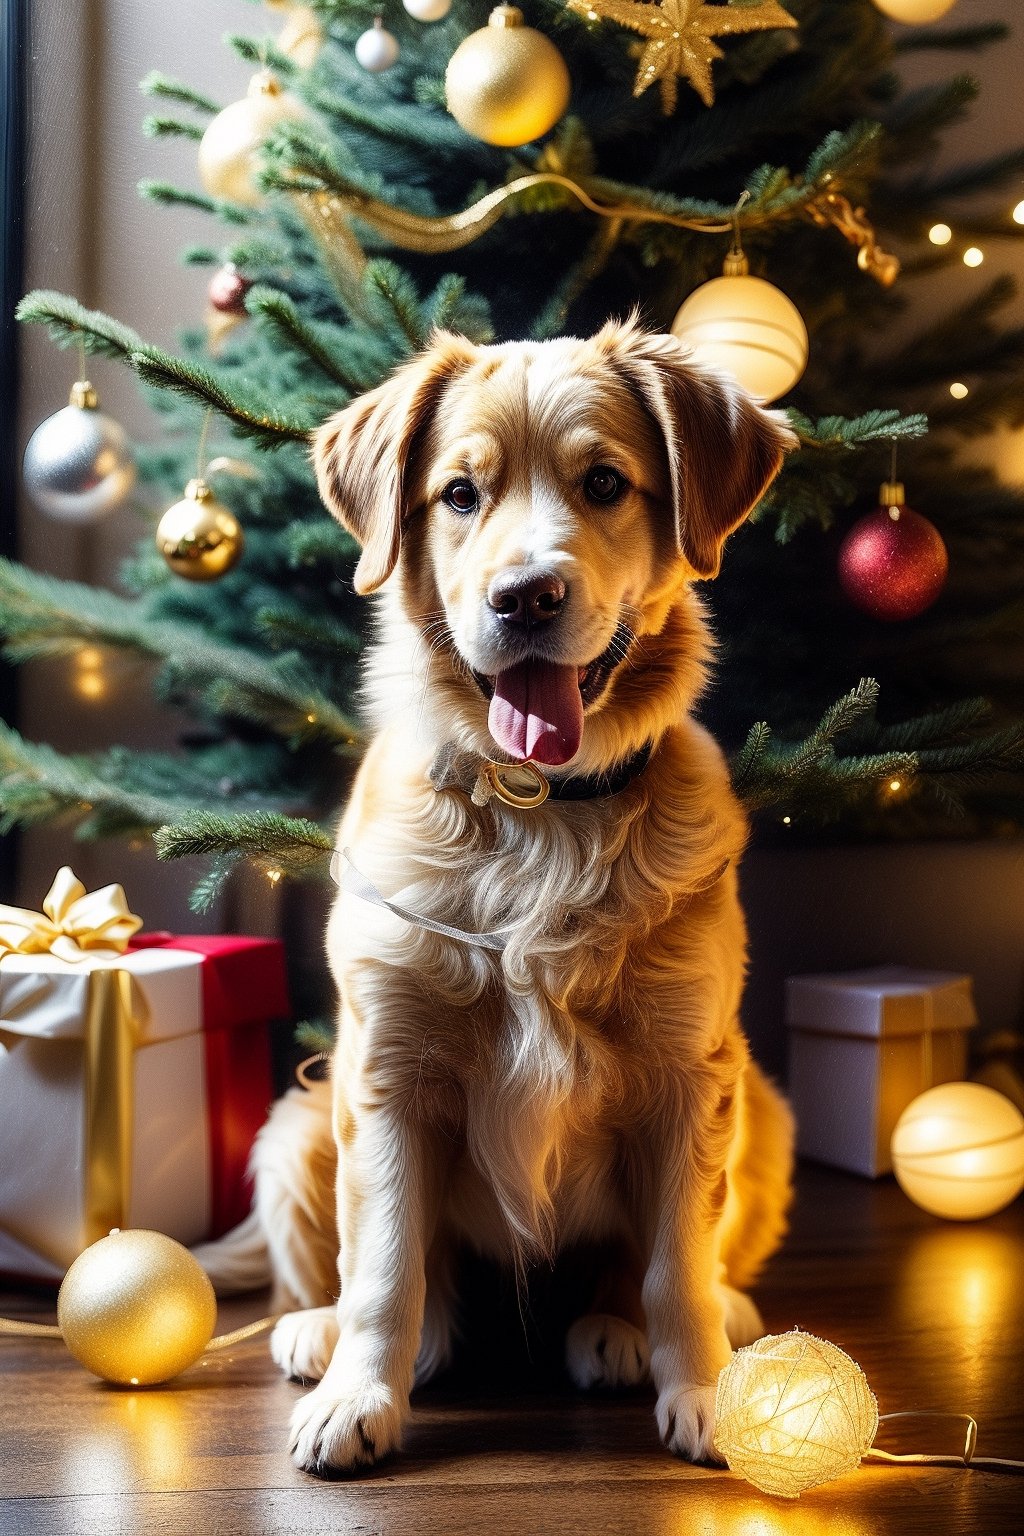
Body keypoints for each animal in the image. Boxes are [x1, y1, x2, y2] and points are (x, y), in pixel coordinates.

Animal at [254, 314, 792, 1474]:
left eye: (605, 483)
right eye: (460, 494)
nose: (526, 597)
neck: (539, 811)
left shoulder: (689, 1073)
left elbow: (675, 1263)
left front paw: (705, 1388)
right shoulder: (385, 1069)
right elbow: (385, 1266)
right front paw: (361, 1394)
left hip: (760, 1106)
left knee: (672, 1273)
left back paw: (652, 1326)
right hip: (300, 1122)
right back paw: (322, 1334)